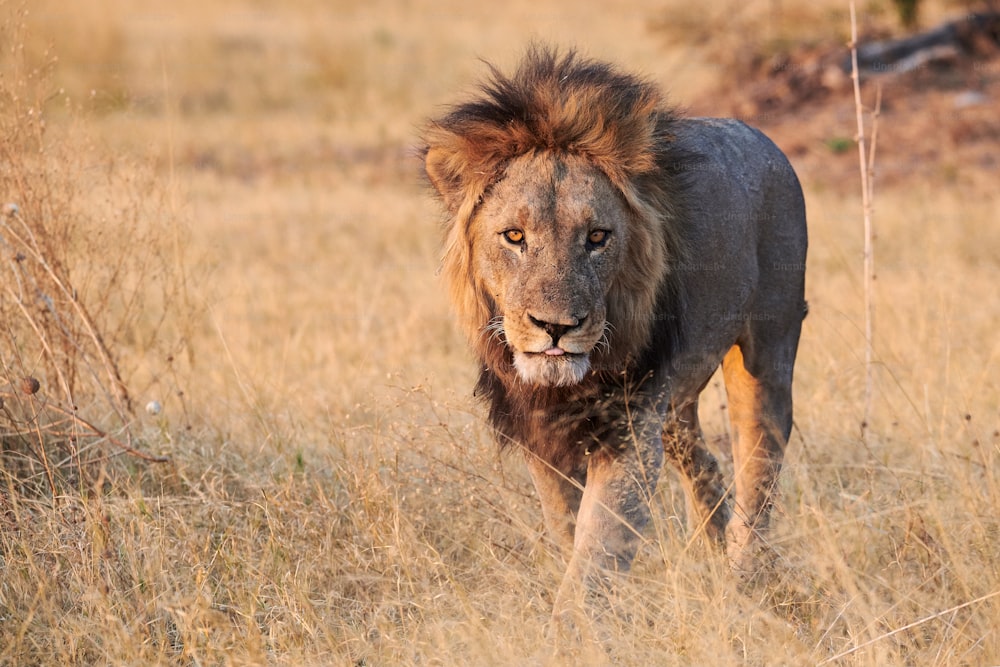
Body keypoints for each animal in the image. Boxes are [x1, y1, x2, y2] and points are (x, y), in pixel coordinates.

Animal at [420, 48, 804, 620]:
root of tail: (762, 136)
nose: (556, 327)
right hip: (676, 403)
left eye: (597, 237)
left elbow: (597, 547)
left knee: (760, 459)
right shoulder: (543, 434)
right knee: (703, 461)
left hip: (767, 349)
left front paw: (573, 625)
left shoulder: (630, 432)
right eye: (514, 236)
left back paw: (742, 575)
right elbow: (565, 527)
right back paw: (711, 556)